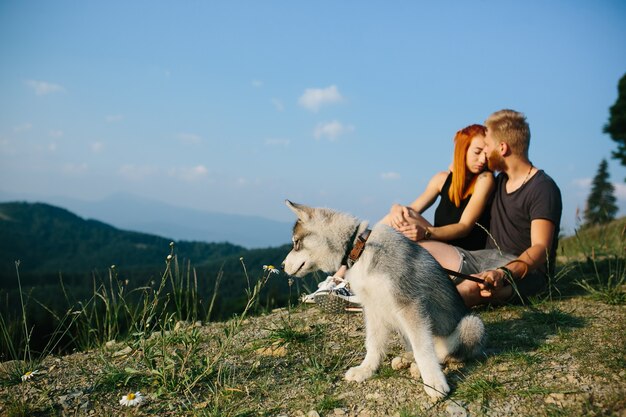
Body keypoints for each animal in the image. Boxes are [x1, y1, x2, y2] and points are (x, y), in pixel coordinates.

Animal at [282, 200, 482, 398]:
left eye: (296, 243)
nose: (282, 266)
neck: (360, 250)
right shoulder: (372, 308)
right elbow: (373, 342)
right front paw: (366, 369)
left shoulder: (410, 304)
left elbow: (423, 348)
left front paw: (433, 382)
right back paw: (405, 359)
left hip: (472, 324)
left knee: (442, 352)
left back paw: (419, 367)